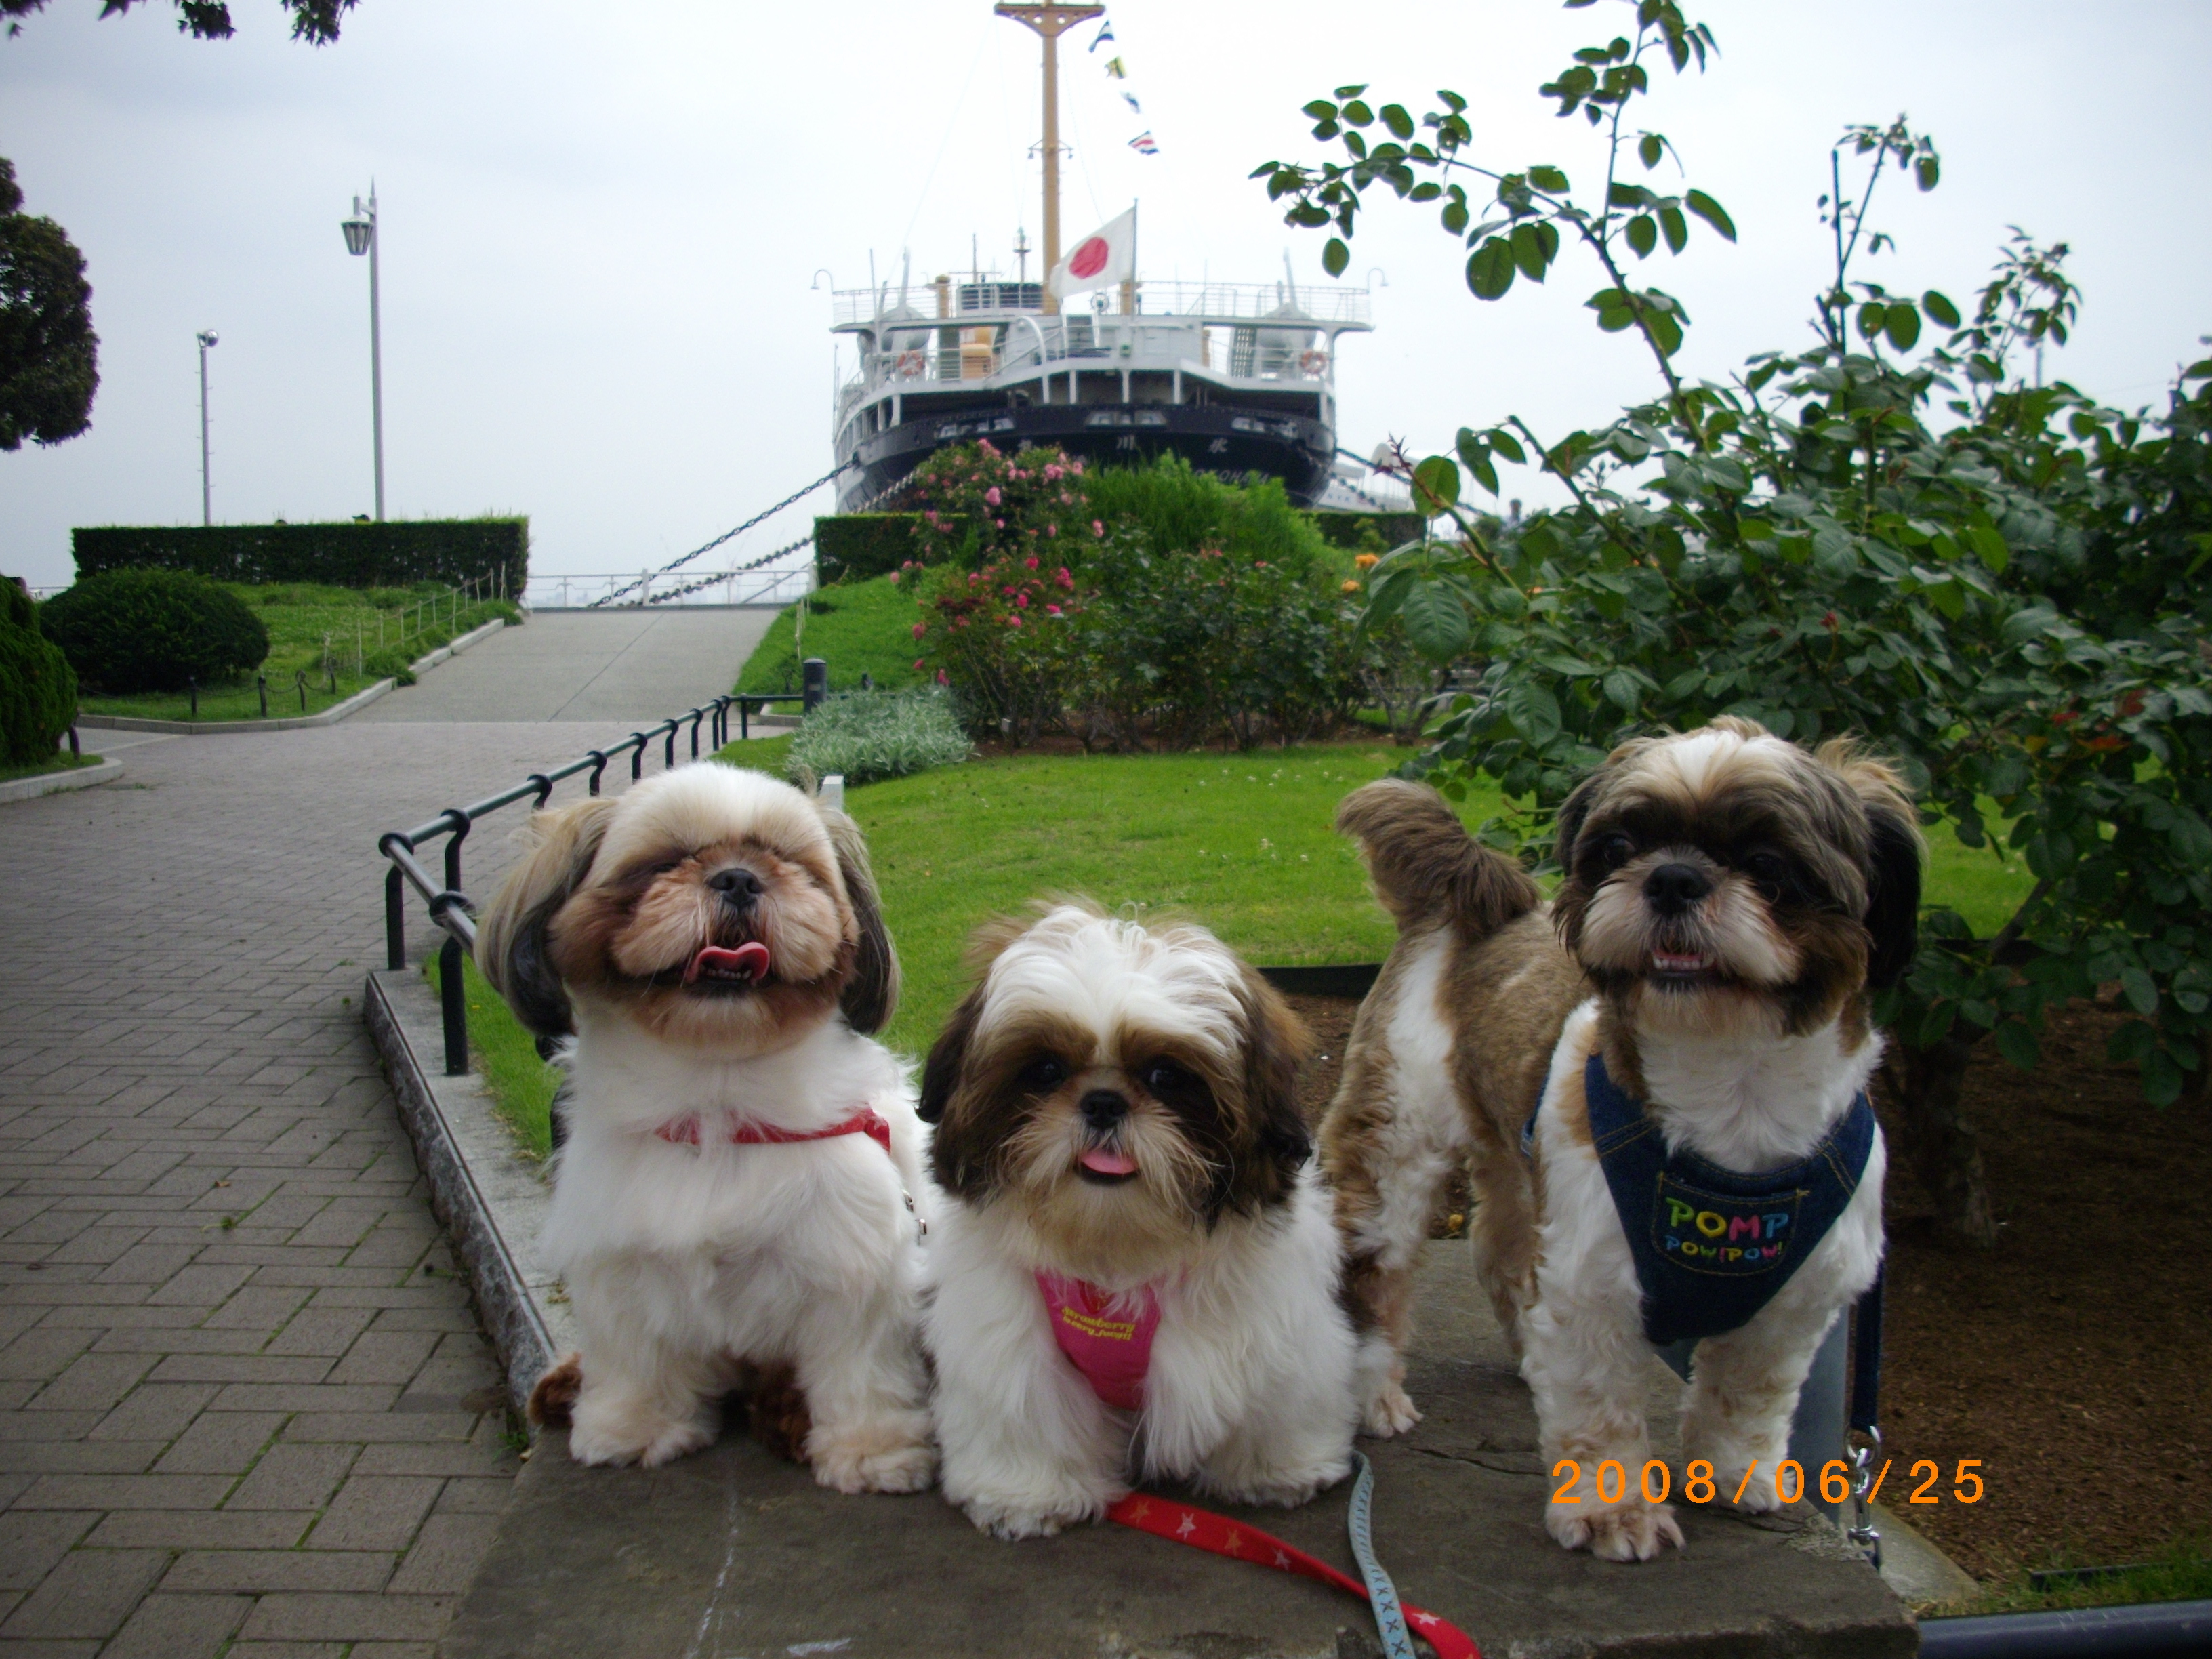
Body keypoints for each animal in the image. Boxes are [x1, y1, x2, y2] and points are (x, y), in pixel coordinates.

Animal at [475, 765, 933, 1495]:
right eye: (663, 862)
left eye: (791, 863)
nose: (739, 878)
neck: (718, 1102)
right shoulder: (623, 1261)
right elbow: (636, 1355)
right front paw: (632, 1426)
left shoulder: (854, 1269)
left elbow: (862, 1372)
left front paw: (873, 1451)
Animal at [907, 911, 1353, 1548]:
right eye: (1045, 1070)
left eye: (1166, 1075)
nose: (1103, 1102)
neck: (1113, 1249)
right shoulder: (1009, 1336)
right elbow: (1025, 1405)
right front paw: (1025, 1493)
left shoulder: (1266, 1323)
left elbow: (1272, 1392)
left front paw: (1278, 1468)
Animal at [1309, 721, 1920, 1565]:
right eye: (1622, 845)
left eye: (1769, 864)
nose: (1671, 877)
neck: (1733, 1098)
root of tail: (1481, 904)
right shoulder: (1593, 1282)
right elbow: (1601, 1410)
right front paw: (1613, 1513)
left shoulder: (1797, 1302)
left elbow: (1750, 1393)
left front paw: (1734, 1472)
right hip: (1396, 1143)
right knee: (1376, 1273)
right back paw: (1374, 1393)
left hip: (1518, 1164)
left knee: (1501, 1252)